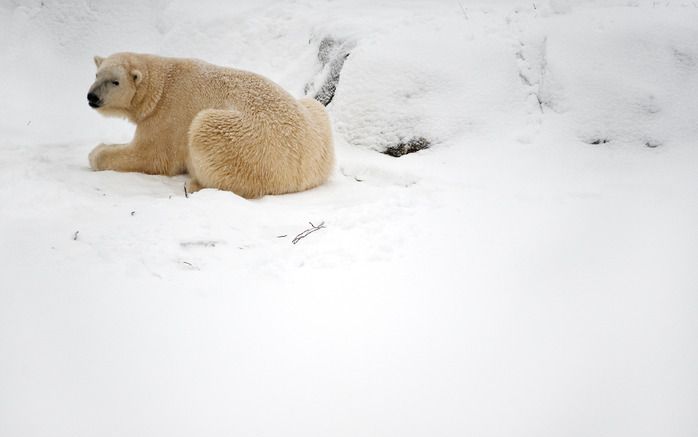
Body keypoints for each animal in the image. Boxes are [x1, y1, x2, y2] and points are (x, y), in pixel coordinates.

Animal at [87, 50, 334, 198]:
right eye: (97, 74)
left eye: (115, 81)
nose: (92, 97)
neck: (162, 86)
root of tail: (307, 171)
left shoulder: (169, 116)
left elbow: (152, 155)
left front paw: (97, 153)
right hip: (316, 117)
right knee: (314, 105)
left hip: (251, 145)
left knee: (204, 129)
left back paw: (195, 184)